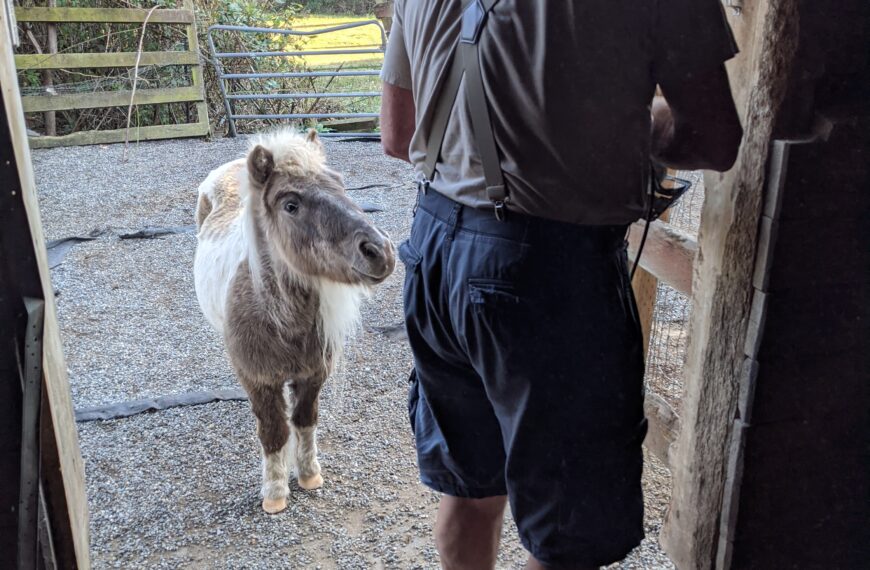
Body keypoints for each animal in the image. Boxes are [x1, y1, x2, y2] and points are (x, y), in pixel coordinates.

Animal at [193, 129, 395, 513]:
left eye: (340, 184)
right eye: (290, 205)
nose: (380, 252)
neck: (282, 322)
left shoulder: (313, 375)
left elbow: (304, 421)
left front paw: (309, 475)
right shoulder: (259, 381)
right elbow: (274, 432)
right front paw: (274, 494)